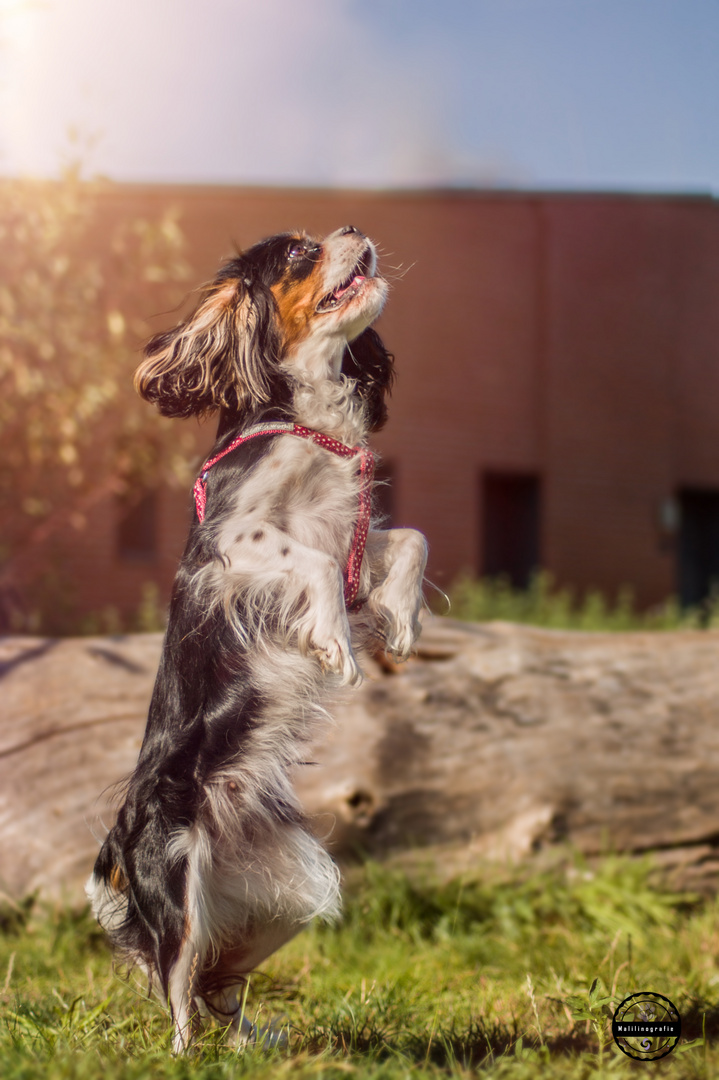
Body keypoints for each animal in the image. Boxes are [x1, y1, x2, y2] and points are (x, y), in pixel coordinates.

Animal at [87, 225, 427, 1045]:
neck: (309, 424)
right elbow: (309, 558)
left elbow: (409, 540)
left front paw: (401, 623)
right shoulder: (233, 544)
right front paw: (336, 644)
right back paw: (186, 1055)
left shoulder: (349, 538)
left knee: (218, 981)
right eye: (301, 253)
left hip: (288, 897)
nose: (354, 230)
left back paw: (252, 1044)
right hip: (178, 885)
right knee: (176, 989)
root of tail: (119, 838)